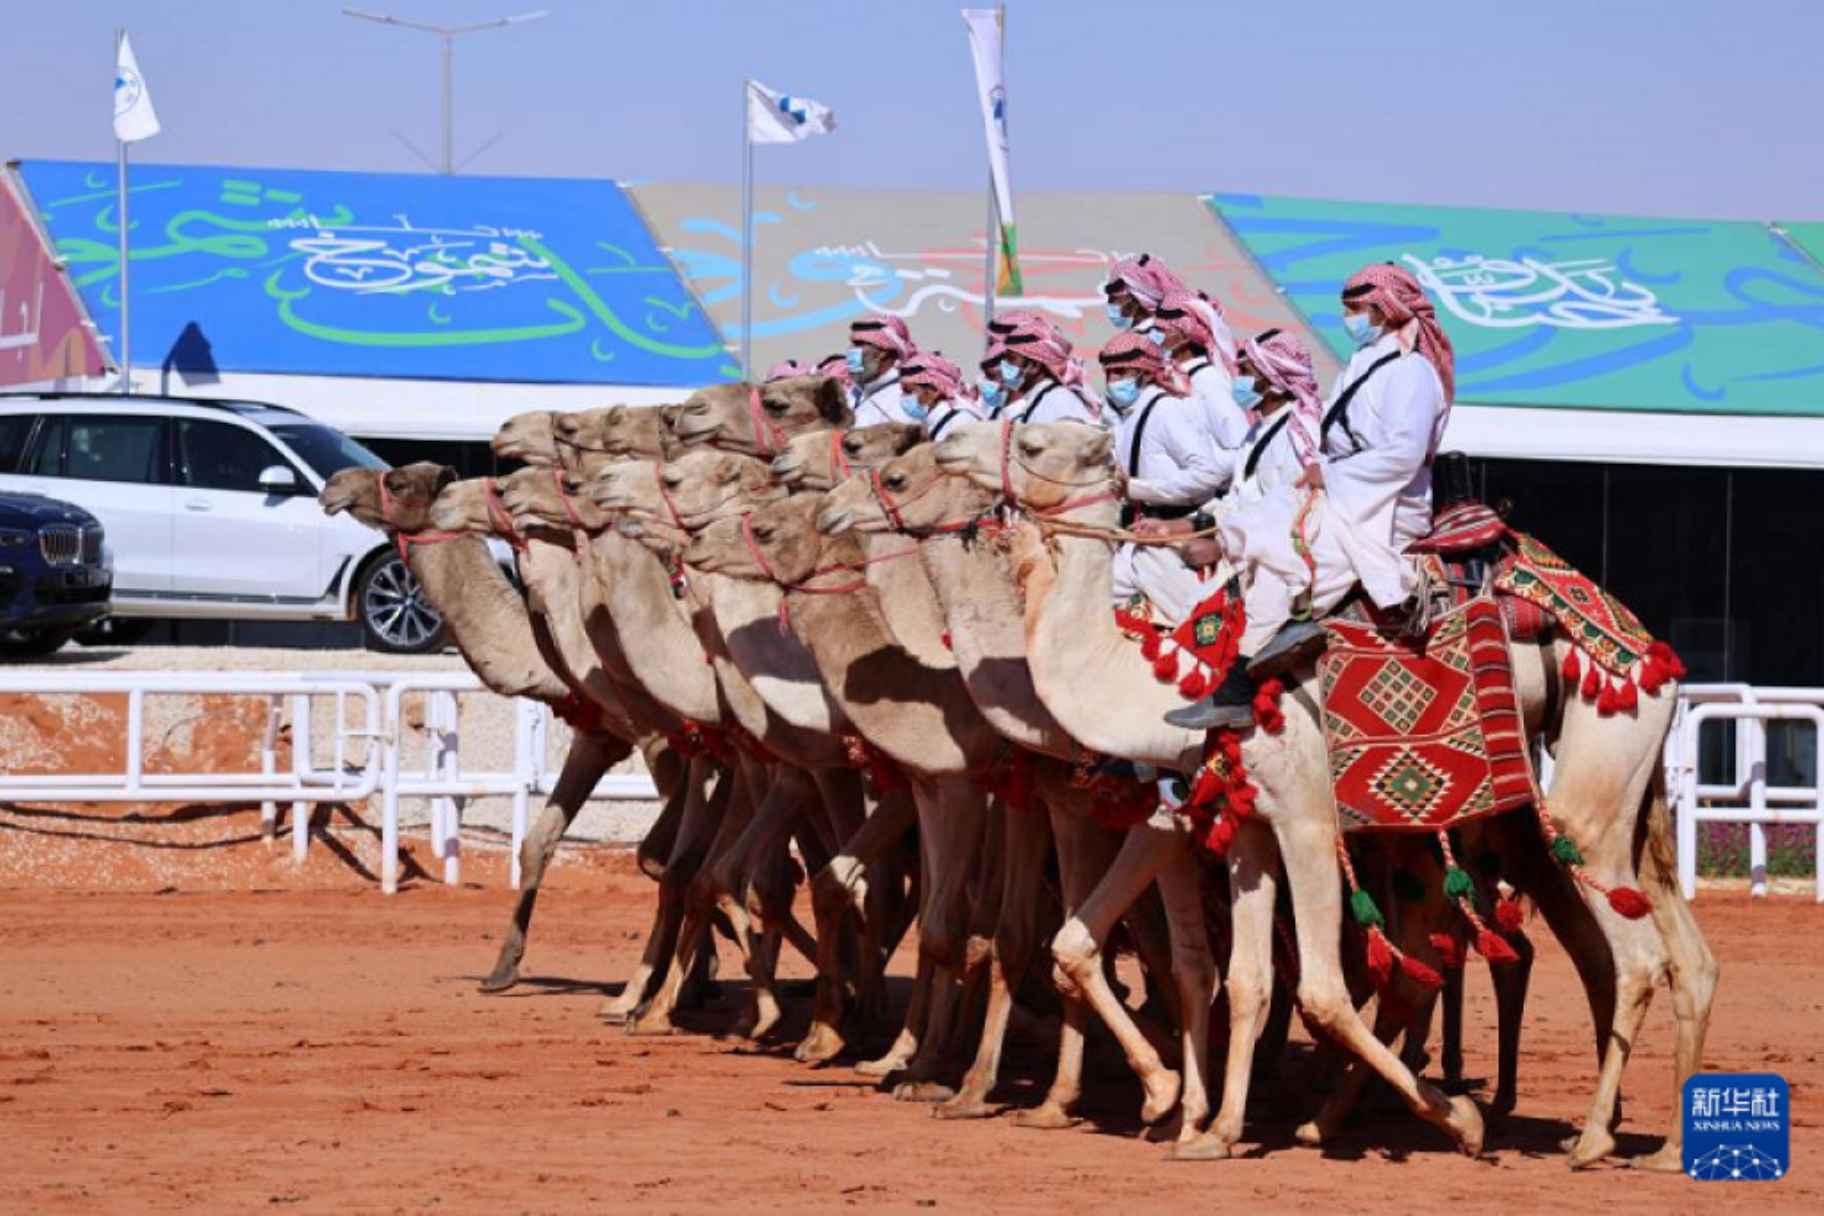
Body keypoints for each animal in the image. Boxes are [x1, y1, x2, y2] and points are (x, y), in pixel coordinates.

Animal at [933, 421, 1714, 1166]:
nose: (945, 445)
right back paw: (1668, 1148)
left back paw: (1588, 1138)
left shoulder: (1303, 820)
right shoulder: (1245, 824)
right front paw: (1214, 1131)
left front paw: (1458, 1121)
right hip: (1625, 801)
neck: (1163, 681)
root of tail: (1652, 651)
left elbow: (1320, 991)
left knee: (1627, 958)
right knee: (1685, 959)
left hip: (1589, 770)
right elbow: (1244, 978)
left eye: (1036, 442)